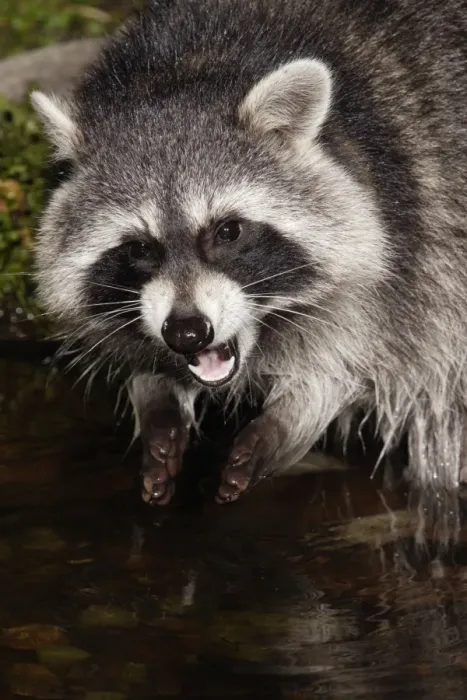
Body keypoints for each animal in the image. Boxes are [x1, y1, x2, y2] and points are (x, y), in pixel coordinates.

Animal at [31, 0, 467, 505]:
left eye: (228, 231)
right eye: (139, 247)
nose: (187, 333)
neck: (190, 65)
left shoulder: (407, 244)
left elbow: (347, 365)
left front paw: (291, 419)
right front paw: (157, 398)